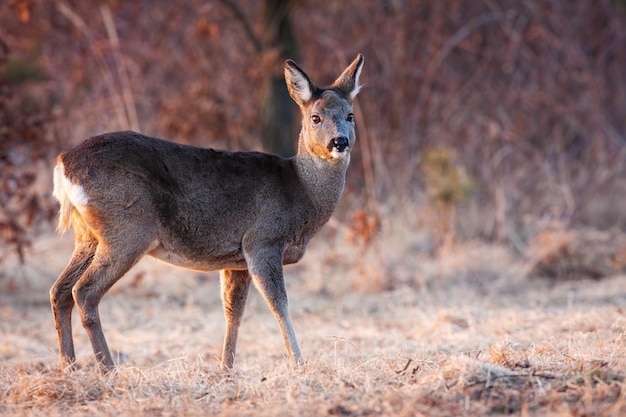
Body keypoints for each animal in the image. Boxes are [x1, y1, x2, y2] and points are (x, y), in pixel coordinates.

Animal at [51, 52, 364, 370]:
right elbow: (279, 306)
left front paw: (226, 368)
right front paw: (299, 364)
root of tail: (64, 163)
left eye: (350, 115)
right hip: (127, 229)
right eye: (316, 117)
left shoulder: (236, 260)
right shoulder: (262, 240)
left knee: (60, 290)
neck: (301, 191)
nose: (339, 141)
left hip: (88, 235)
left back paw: (70, 366)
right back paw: (107, 369)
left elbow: (233, 313)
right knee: (84, 292)